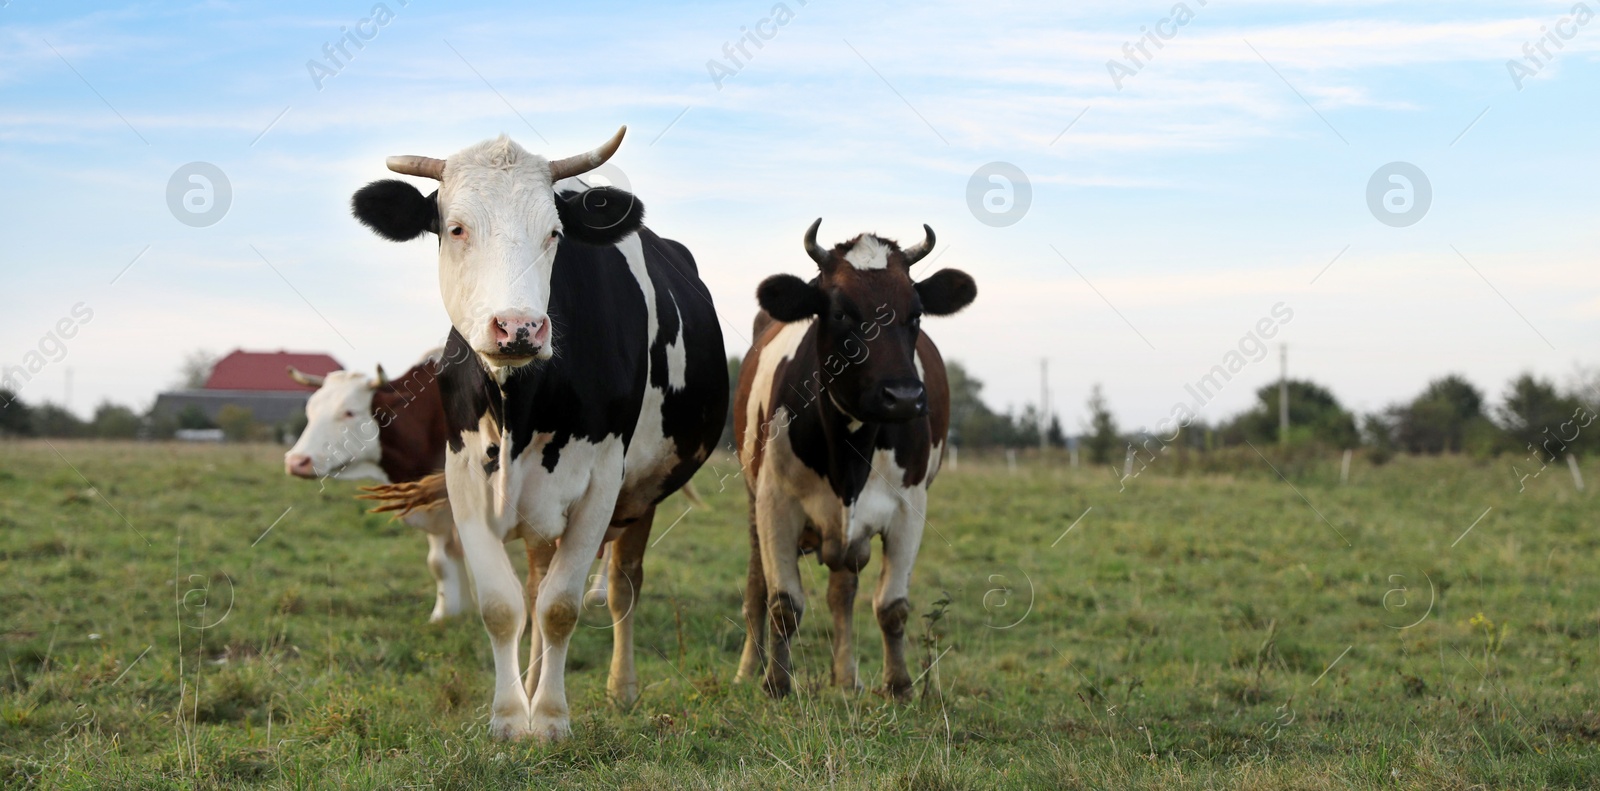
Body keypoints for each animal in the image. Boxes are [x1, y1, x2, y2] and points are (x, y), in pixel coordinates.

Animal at [353, 126, 729, 739]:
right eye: (455, 228)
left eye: (553, 233)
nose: (519, 327)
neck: (518, 407)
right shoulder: (464, 477)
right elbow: (504, 605)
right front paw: (510, 717)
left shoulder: (601, 483)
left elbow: (560, 607)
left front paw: (549, 718)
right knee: (534, 583)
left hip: (641, 493)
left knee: (621, 587)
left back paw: (620, 689)